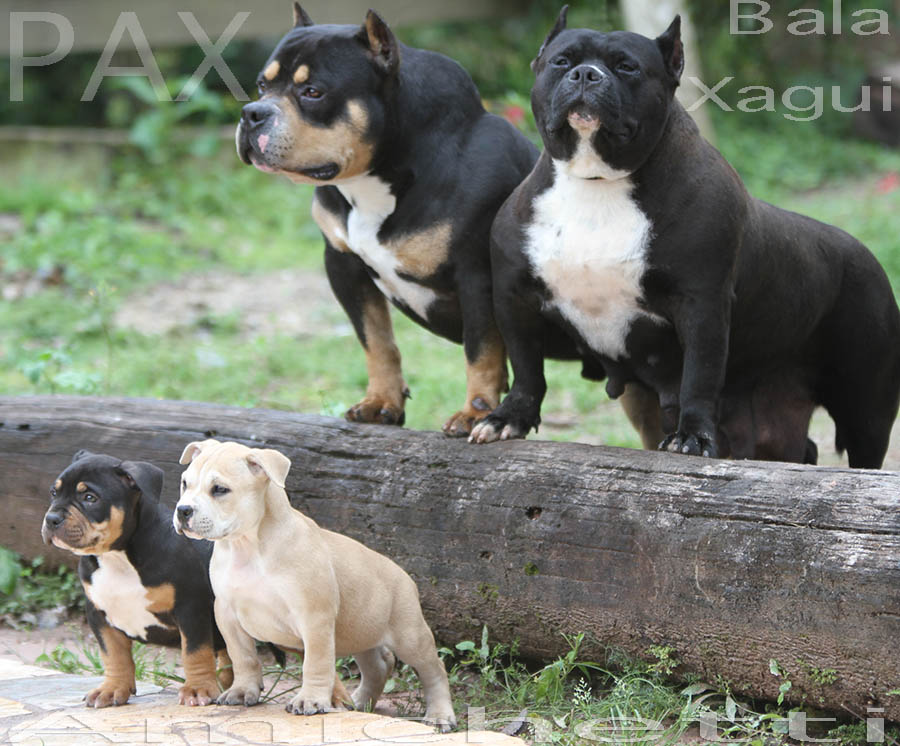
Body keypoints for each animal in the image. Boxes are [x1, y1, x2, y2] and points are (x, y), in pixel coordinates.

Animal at [41, 450, 232, 708]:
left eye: (90, 498)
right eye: (54, 493)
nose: (51, 518)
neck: (117, 557)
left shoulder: (190, 608)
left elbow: (195, 651)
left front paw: (197, 688)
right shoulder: (99, 614)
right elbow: (113, 654)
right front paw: (112, 688)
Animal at [174, 438, 458, 728]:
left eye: (220, 489)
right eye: (185, 483)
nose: (183, 510)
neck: (248, 545)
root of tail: (403, 575)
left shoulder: (314, 617)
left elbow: (316, 663)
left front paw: (310, 700)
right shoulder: (228, 614)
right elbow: (243, 657)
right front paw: (243, 690)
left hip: (409, 635)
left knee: (434, 670)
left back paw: (440, 715)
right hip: (360, 630)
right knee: (378, 665)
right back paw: (358, 702)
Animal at [236, 2, 536, 436]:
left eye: (313, 92)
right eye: (262, 86)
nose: (252, 113)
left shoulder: (477, 274)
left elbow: (481, 349)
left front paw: (474, 413)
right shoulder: (343, 265)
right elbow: (376, 340)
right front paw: (381, 402)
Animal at [472, 8, 900, 464]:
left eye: (627, 67)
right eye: (561, 61)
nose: (586, 74)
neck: (598, 181)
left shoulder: (702, 304)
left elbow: (699, 374)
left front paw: (693, 436)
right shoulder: (515, 297)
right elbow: (526, 366)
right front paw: (509, 417)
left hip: (866, 405)